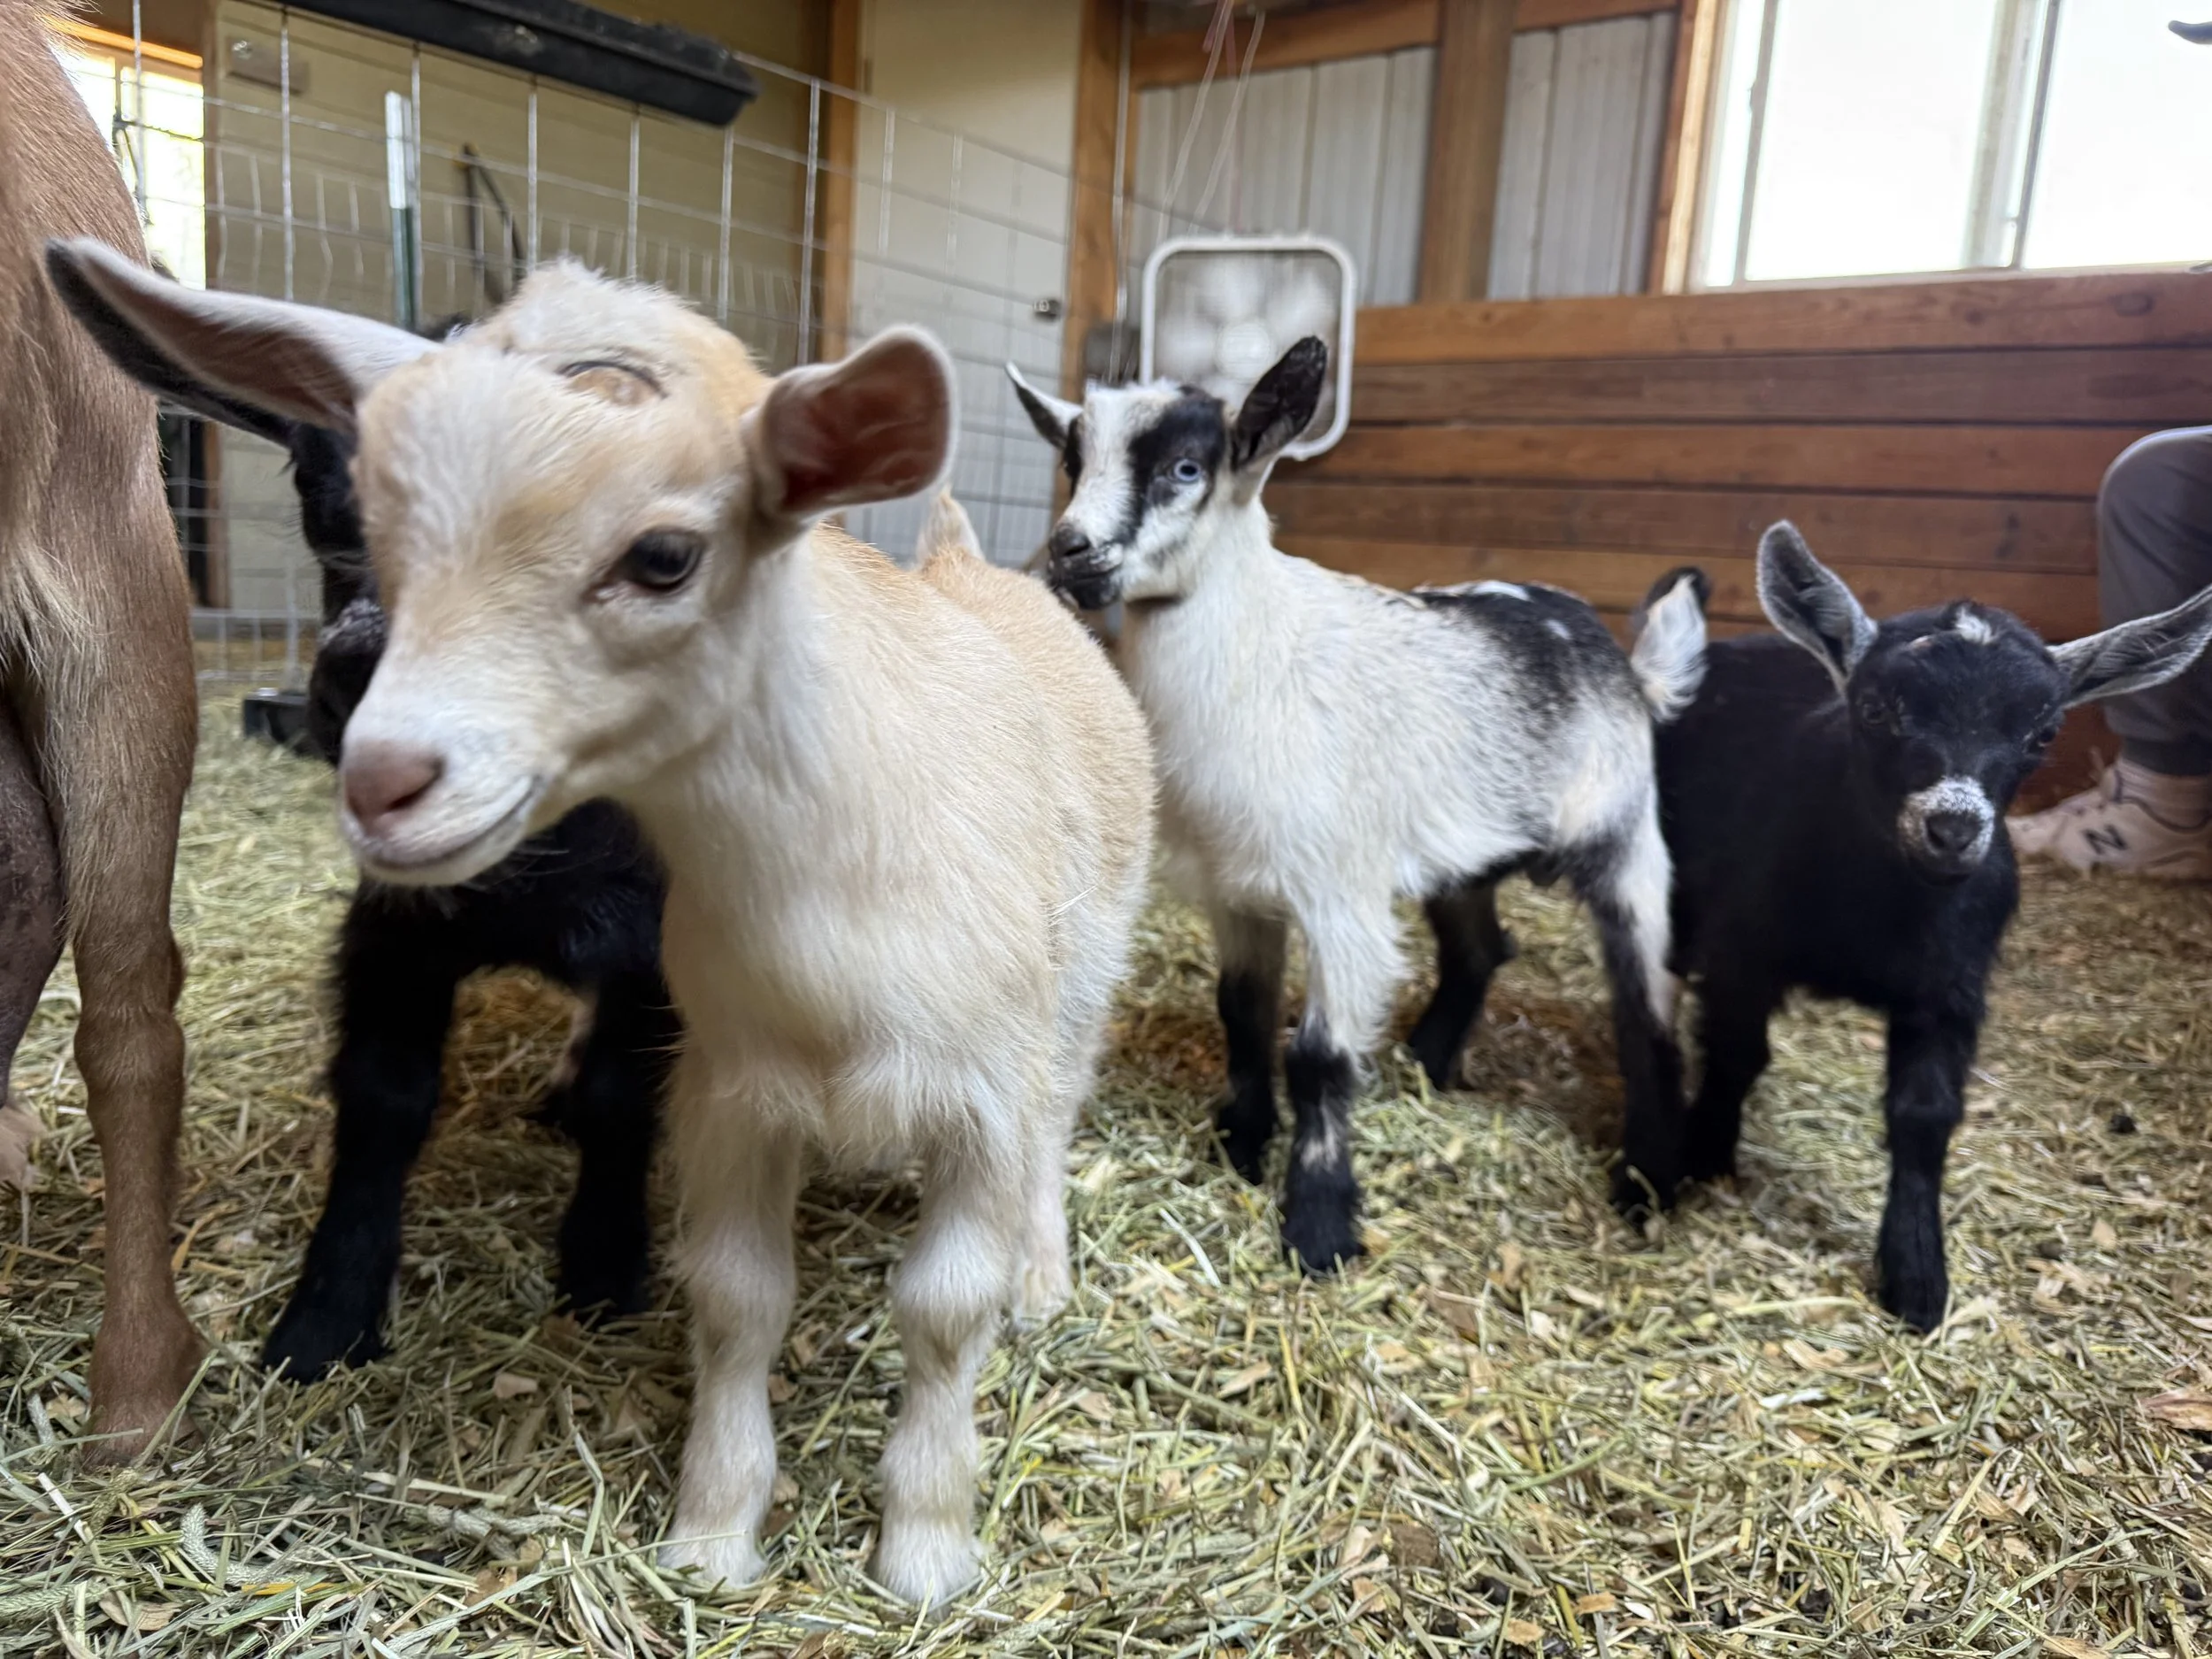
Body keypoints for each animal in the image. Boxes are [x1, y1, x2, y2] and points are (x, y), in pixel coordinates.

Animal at [31, 285, 680, 1377]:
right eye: (315, 474)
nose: (363, 667)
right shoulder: (393, 926)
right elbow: (382, 1099)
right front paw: (326, 1319)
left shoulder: (652, 934)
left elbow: (619, 1094)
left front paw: (603, 1272)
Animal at [1009, 338, 1706, 1271]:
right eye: (1072, 460)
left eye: (1187, 468)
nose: (1070, 551)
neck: (1263, 654)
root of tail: (1628, 666)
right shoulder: (1239, 889)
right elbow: (1242, 1014)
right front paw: (1240, 1139)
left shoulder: (1341, 898)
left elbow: (1319, 1059)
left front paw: (1319, 1225)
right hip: (1462, 854)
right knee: (1481, 949)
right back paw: (1428, 1063)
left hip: (1626, 840)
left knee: (1647, 1004)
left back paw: (1648, 1179)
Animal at [1646, 523, 2212, 1331]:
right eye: (1876, 708)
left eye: (2044, 731)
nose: (1951, 830)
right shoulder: (1743, 950)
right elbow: (1736, 1054)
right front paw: (1702, 1155)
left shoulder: (1951, 989)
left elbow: (1925, 1113)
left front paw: (1917, 1273)